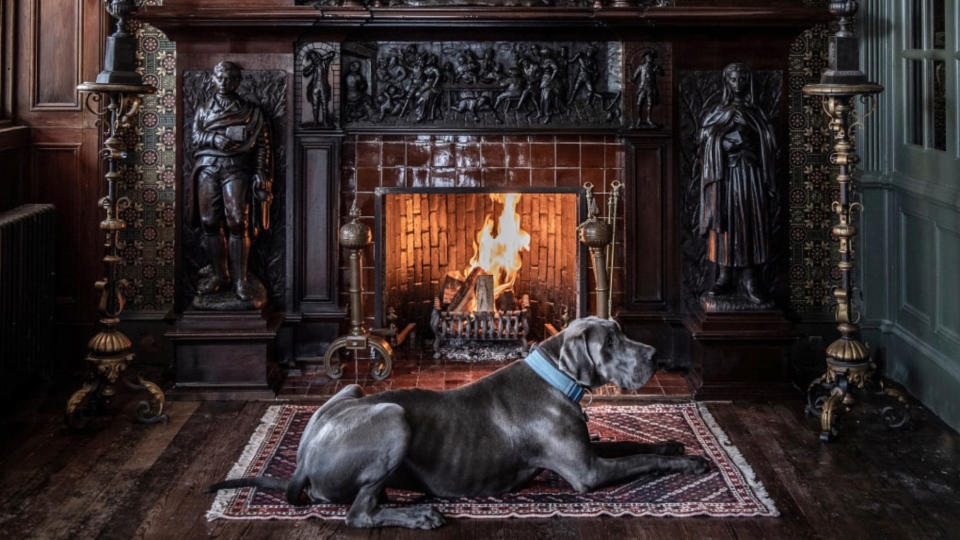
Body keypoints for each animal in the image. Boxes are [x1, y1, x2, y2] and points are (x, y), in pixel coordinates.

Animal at [204, 316, 712, 528]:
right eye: (610, 342)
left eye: (620, 332)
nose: (654, 356)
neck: (556, 377)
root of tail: (303, 462)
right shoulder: (586, 472)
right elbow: (641, 460)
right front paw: (691, 464)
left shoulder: (587, 450)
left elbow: (632, 445)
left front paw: (674, 445)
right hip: (393, 418)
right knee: (358, 514)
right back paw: (418, 514)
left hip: (352, 394)